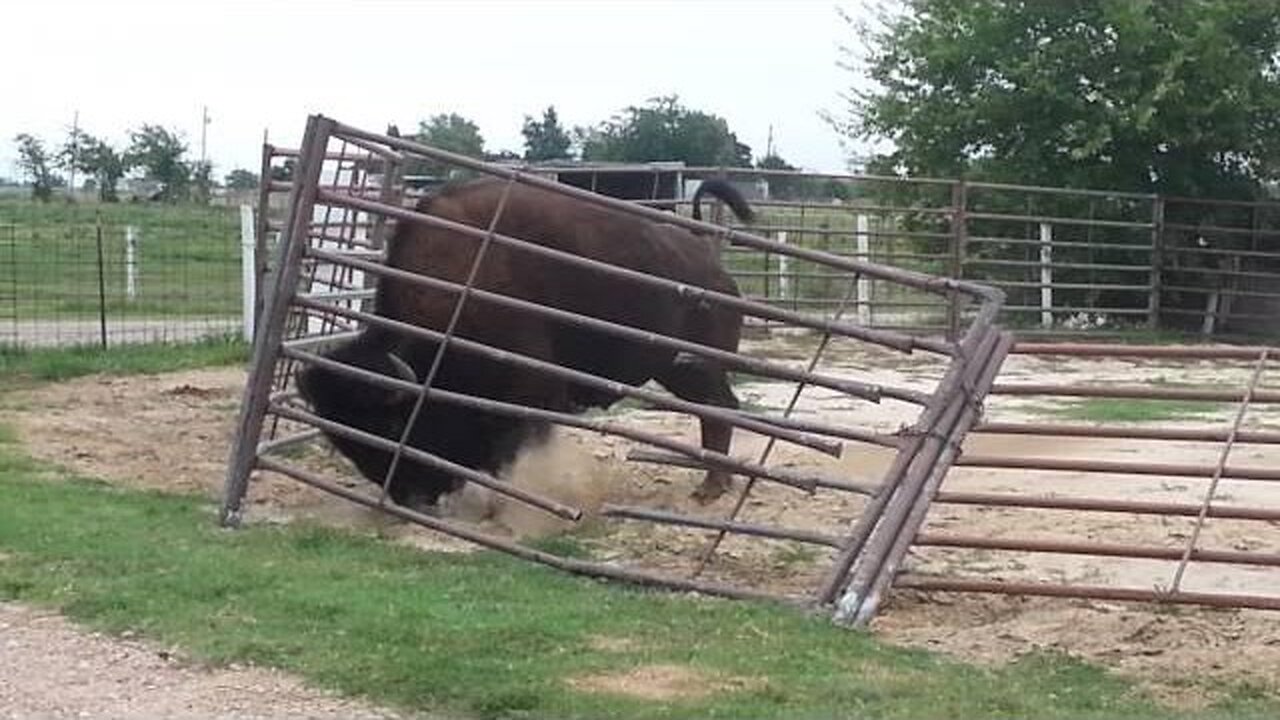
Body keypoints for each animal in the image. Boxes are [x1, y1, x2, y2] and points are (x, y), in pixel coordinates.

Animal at [296, 174, 757, 509]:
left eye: (391, 424)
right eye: (343, 441)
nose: (410, 497)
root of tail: (710, 261)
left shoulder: (531, 396)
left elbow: (516, 454)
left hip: (696, 367)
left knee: (720, 408)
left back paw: (711, 488)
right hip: (677, 370)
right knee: (716, 409)